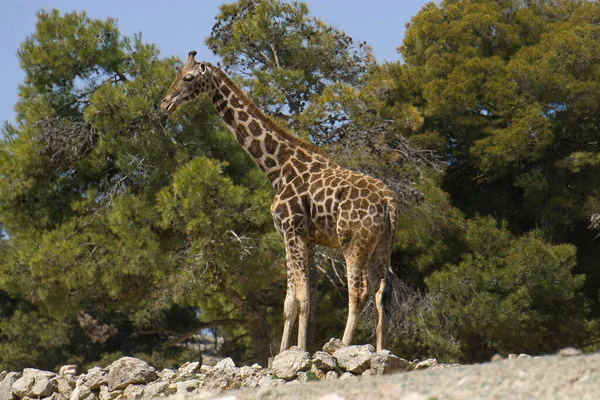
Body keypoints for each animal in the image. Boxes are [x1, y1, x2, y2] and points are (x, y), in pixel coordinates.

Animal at [162, 50, 398, 354]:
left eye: (189, 77)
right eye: (178, 74)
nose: (164, 104)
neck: (277, 168)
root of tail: (389, 202)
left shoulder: (292, 230)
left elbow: (302, 298)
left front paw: (300, 352)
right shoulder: (302, 237)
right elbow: (292, 302)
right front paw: (285, 353)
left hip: (353, 243)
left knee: (358, 293)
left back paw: (343, 347)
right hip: (382, 246)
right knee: (382, 293)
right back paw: (381, 352)